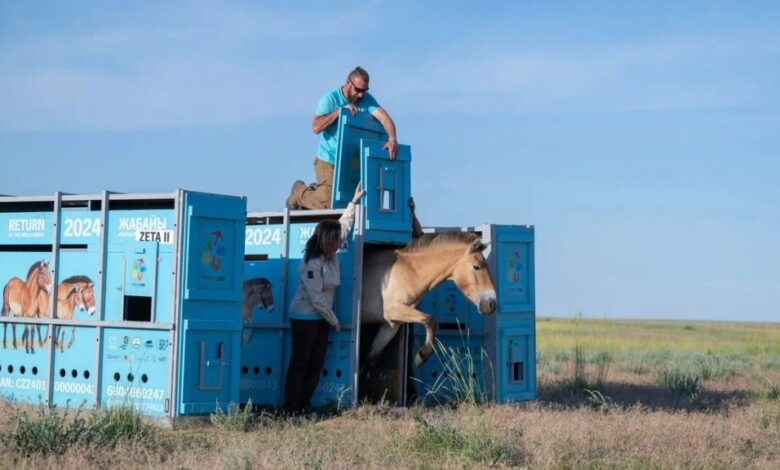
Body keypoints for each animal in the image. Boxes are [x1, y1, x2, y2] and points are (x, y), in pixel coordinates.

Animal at [362, 231, 496, 368]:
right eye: (476, 267)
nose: (491, 303)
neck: (408, 271)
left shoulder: (390, 325)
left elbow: (370, 361)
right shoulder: (394, 310)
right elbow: (430, 320)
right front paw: (422, 355)